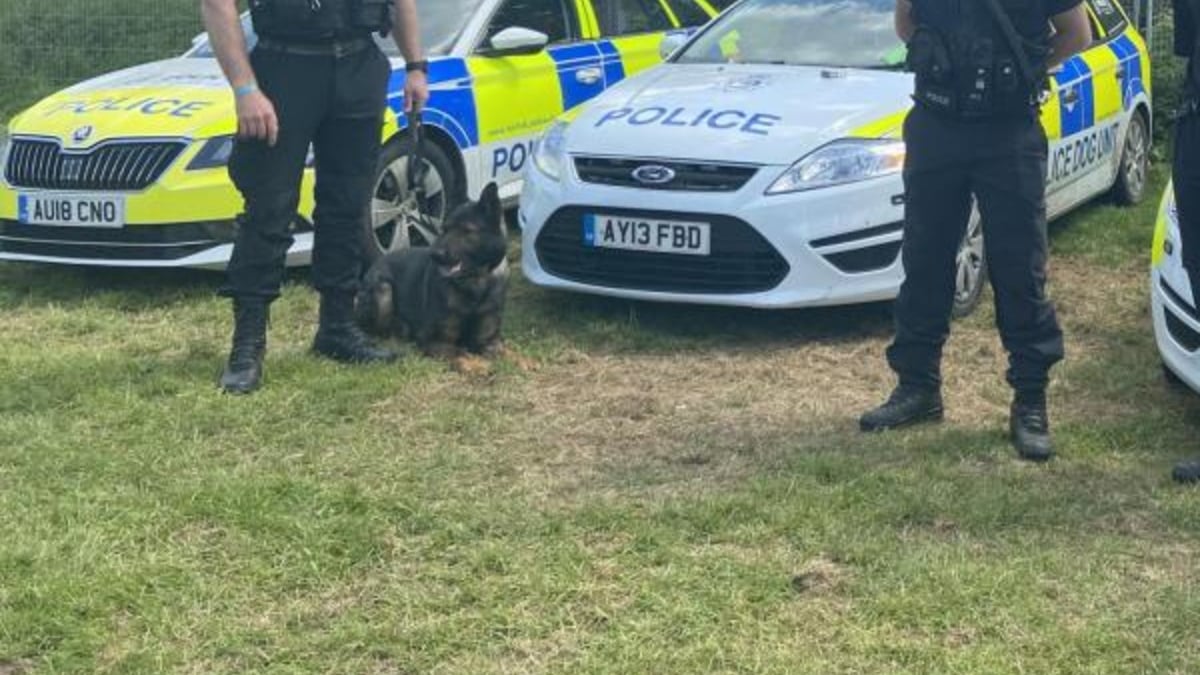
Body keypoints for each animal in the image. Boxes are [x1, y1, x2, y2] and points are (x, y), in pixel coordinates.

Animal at [352, 181, 508, 362]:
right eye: (444, 229)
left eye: (466, 231)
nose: (435, 254)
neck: (475, 283)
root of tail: (376, 263)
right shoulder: (438, 341)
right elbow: (462, 356)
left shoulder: (489, 341)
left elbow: (512, 355)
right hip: (384, 291)